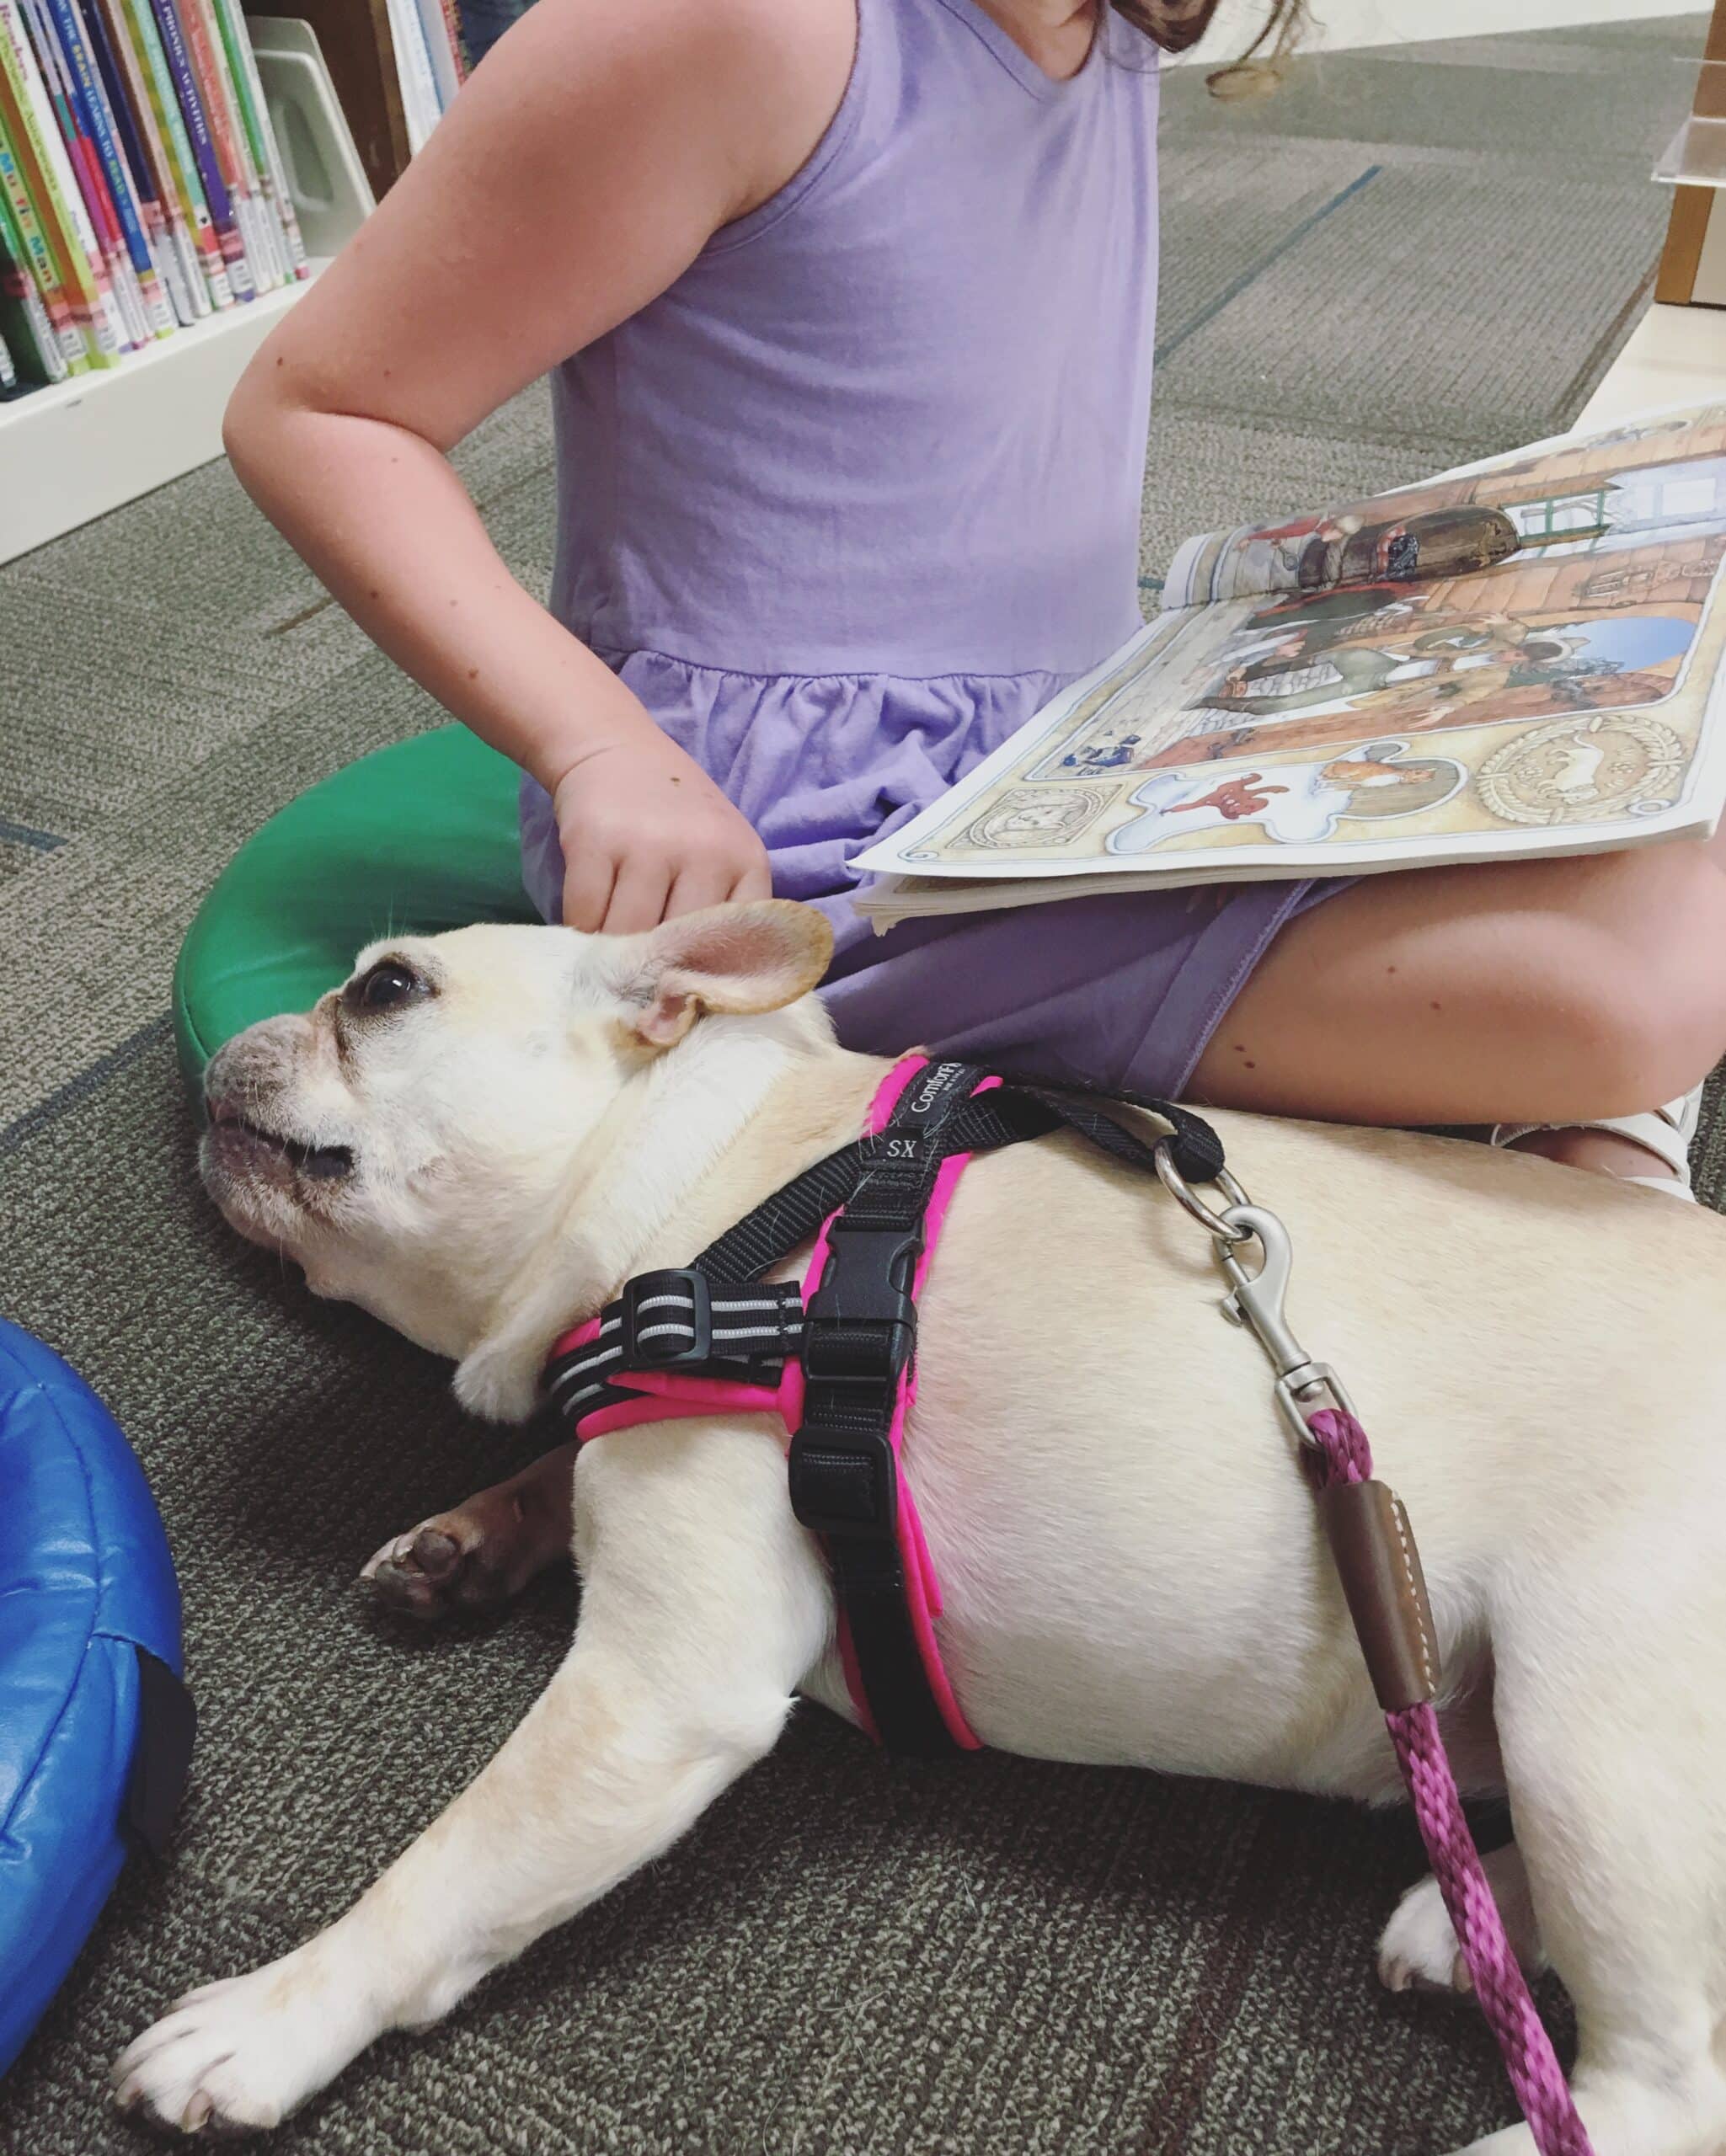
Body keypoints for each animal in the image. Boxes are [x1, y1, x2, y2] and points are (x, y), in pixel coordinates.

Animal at [118, 901, 1726, 2147]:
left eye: (387, 991)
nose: (252, 1033)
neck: (719, 1184)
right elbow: (558, 1480)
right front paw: (465, 1538)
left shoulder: (657, 1692)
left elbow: (446, 1869)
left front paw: (273, 2016)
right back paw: (1466, 1922)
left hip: (1594, 1709)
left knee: (1660, 2091)